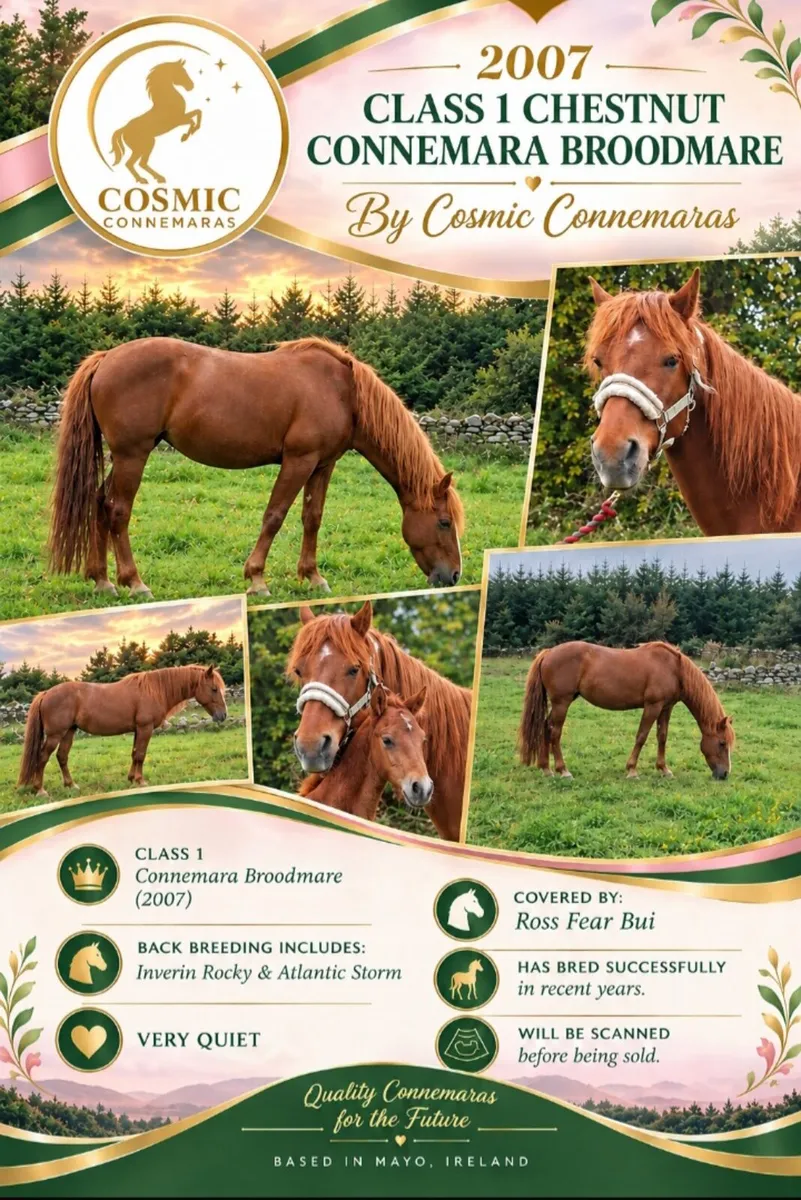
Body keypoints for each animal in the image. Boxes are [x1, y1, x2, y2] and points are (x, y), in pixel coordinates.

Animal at [17, 665, 227, 797]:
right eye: (214, 689)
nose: (223, 715)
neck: (154, 690)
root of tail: (46, 693)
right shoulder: (145, 728)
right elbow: (141, 754)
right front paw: (141, 781)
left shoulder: (137, 730)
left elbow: (134, 754)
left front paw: (132, 779)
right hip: (55, 735)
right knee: (43, 757)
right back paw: (40, 790)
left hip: (69, 731)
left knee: (62, 757)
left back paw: (71, 785)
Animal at [49, 337, 464, 600]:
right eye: (444, 522)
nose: (454, 576)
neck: (344, 392)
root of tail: (106, 358)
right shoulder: (299, 460)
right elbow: (274, 516)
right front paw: (257, 580)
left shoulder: (323, 464)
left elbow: (312, 518)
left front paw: (313, 577)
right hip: (132, 454)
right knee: (117, 510)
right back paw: (134, 582)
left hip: (124, 457)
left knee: (98, 503)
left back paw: (102, 581)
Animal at [519, 641, 734, 780]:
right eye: (722, 743)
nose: (724, 774)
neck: (675, 669)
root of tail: (548, 652)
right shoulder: (652, 706)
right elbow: (641, 736)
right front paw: (632, 770)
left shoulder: (666, 708)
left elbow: (662, 737)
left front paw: (664, 769)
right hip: (561, 703)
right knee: (554, 732)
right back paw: (563, 770)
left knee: (545, 727)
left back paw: (546, 769)